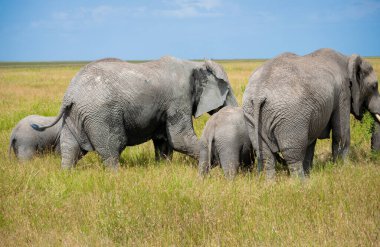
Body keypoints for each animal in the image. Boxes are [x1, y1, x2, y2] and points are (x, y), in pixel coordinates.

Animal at [31, 56, 238, 169]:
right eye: (227, 90)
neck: (194, 64)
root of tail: (70, 93)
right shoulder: (178, 99)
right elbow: (180, 139)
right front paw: (215, 163)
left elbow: (163, 140)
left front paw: (163, 168)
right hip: (101, 115)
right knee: (112, 147)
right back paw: (116, 177)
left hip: (74, 115)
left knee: (70, 148)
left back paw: (67, 173)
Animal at [243, 48, 380, 179]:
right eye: (374, 86)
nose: (373, 158)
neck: (346, 58)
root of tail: (259, 94)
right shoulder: (343, 92)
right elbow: (341, 133)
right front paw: (345, 169)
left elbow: (311, 142)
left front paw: (310, 173)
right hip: (290, 117)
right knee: (293, 155)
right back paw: (300, 183)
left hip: (252, 114)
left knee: (265, 155)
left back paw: (270, 183)